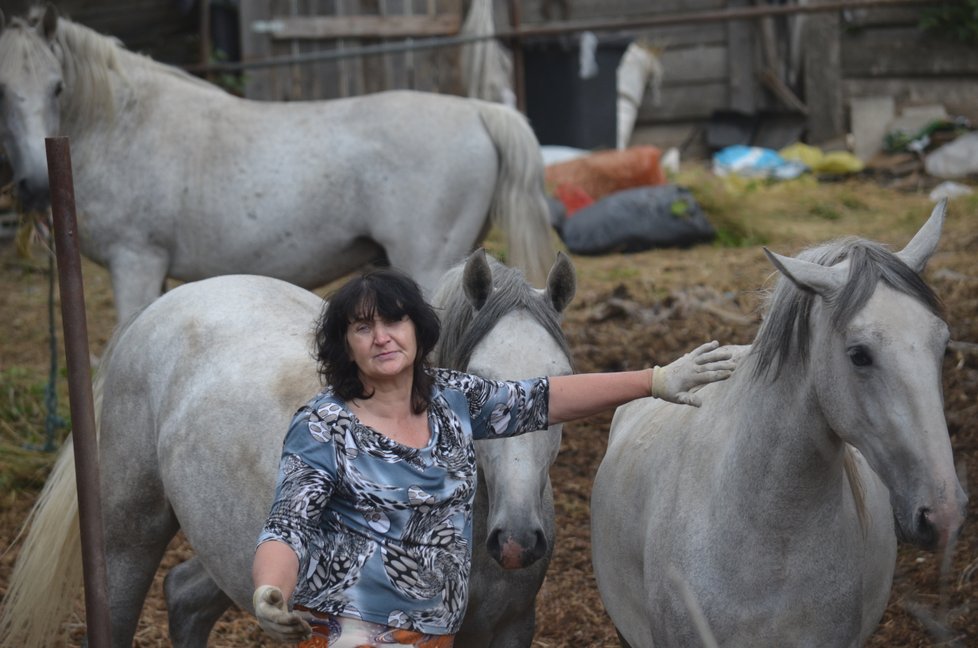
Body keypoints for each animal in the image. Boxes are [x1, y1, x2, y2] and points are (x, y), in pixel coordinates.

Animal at [0, 8, 552, 324]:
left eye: (57, 87)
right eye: (3, 89)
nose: (34, 187)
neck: (125, 124)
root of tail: (480, 111)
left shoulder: (135, 262)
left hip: (429, 264)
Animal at [0, 249, 576, 648]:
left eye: (564, 380)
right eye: (482, 379)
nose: (518, 542)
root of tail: (154, 311)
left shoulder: (511, 629)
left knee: (184, 595)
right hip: (129, 535)